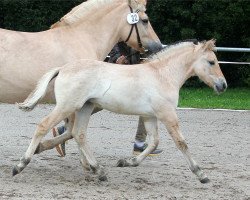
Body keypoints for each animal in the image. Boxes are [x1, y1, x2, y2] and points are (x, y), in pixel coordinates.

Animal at [15, 39, 227, 184]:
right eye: (211, 62)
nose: (223, 85)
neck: (162, 76)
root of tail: (62, 68)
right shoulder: (167, 115)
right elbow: (181, 143)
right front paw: (201, 174)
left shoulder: (150, 116)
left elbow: (153, 142)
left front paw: (127, 162)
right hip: (67, 106)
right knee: (45, 126)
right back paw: (20, 165)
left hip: (85, 107)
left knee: (78, 133)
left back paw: (99, 171)